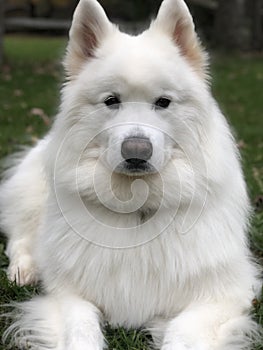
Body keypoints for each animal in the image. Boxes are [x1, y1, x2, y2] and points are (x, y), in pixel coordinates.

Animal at [0, 0, 262, 350]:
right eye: (112, 101)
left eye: (163, 102)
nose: (136, 151)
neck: (137, 206)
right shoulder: (68, 296)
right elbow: (81, 331)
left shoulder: (221, 297)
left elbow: (181, 336)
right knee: (19, 238)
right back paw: (24, 270)